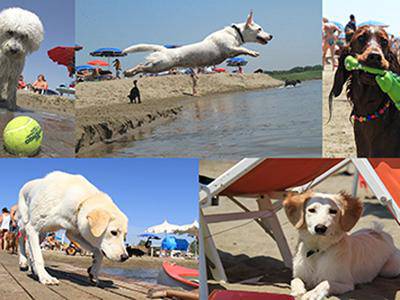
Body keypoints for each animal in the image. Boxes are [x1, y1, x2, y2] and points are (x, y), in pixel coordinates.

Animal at [122, 11, 272, 77]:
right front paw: (253, 52)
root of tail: (162, 49)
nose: (271, 36)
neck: (236, 33)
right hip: (160, 65)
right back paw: (129, 71)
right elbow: (244, 49)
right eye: (260, 29)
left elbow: (241, 51)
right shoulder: (230, 48)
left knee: (143, 67)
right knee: (141, 66)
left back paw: (129, 72)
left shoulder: (231, 52)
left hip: (159, 66)